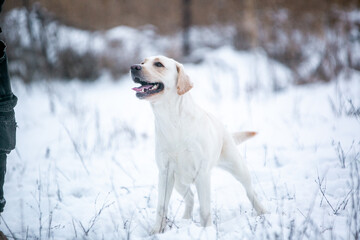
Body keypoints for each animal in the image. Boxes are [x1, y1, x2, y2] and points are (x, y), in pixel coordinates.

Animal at [131, 55, 266, 232]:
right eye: (142, 62)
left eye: (158, 64)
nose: (133, 67)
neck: (172, 121)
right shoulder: (165, 173)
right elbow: (161, 207)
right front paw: (156, 232)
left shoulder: (202, 174)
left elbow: (205, 209)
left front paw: (206, 231)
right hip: (179, 182)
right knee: (190, 197)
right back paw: (186, 219)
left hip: (239, 168)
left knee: (251, 192)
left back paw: (263, 212)